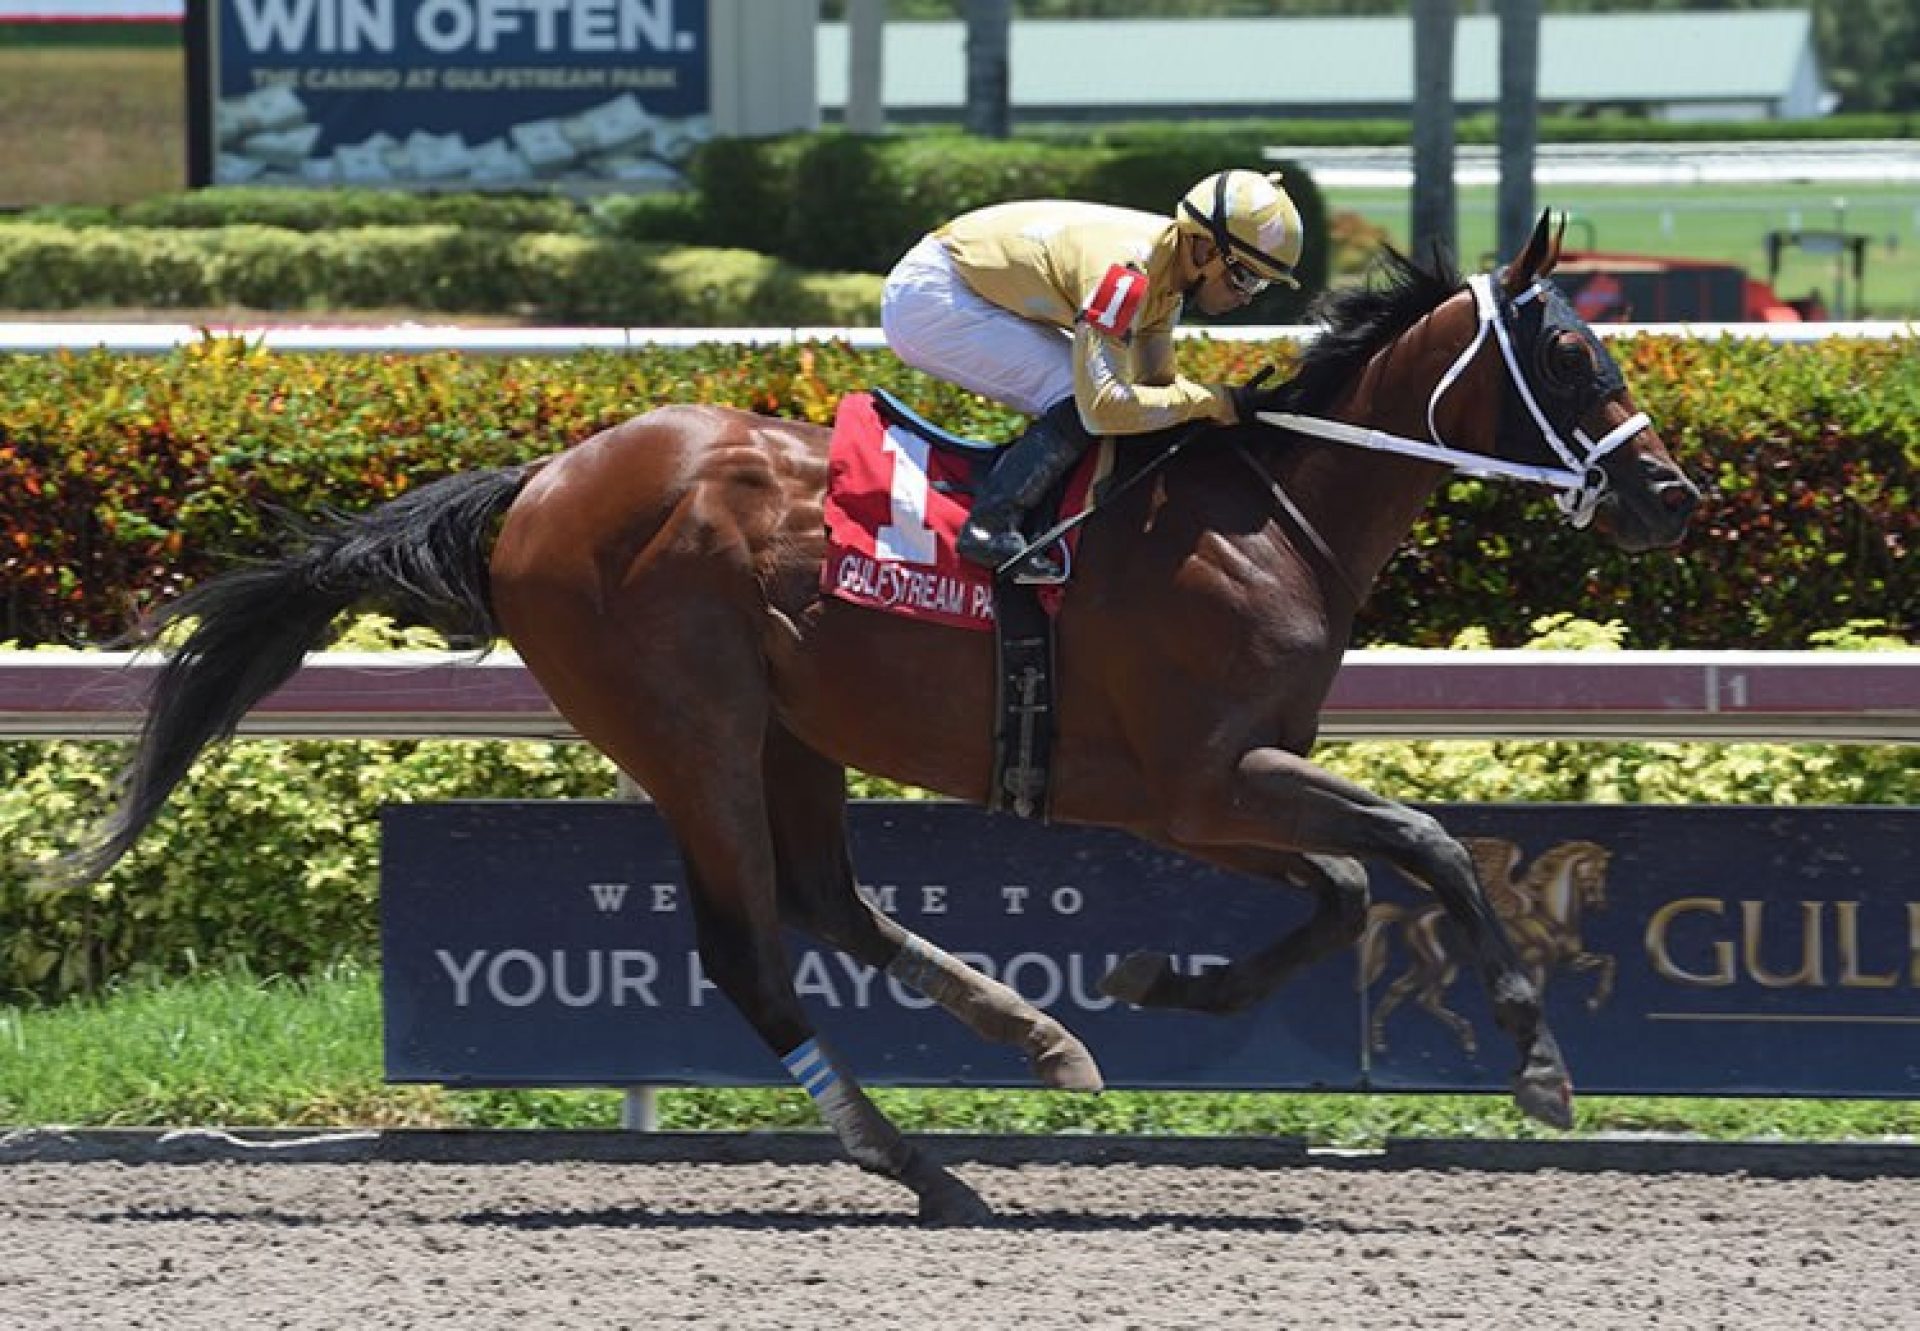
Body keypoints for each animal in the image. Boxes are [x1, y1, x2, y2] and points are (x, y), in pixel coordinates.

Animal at [56, 213, 1697, 1221]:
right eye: (1573, 354)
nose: (1672, 496)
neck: (1262, 514)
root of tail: (539, 483)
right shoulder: (1205, 774)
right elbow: (1419, 844)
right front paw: (1539, 1064)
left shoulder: (1214, 788)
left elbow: (1352, 883)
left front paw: (1156, 980)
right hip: (690, 728)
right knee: (751, 944)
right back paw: (915, 1157)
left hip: (795, 731)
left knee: (828, 902)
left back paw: (1040, 1038)